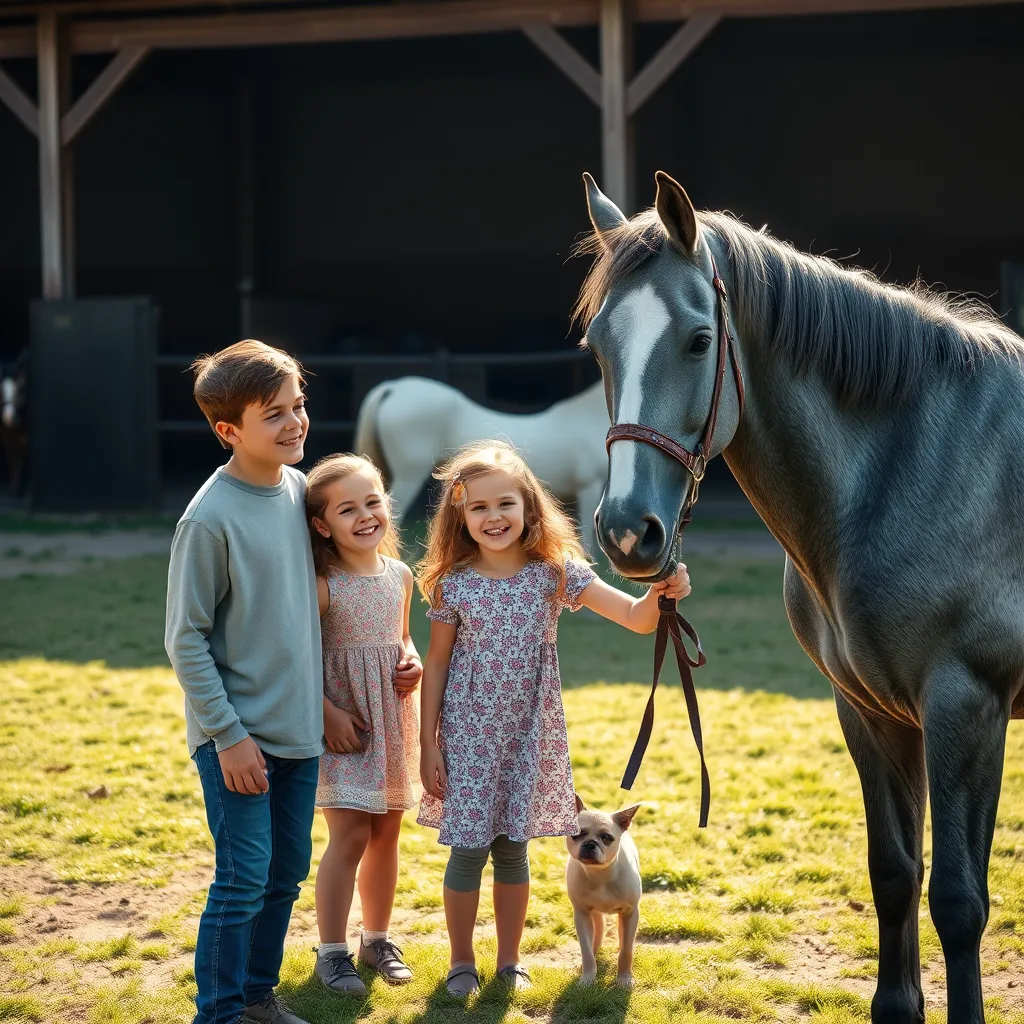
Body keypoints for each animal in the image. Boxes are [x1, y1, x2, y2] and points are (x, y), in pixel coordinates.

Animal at [579, 170, 1024, 1024]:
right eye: (597, 344)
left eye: (699, 339)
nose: (627, 533)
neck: (907, 464)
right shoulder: (871, 711)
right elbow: (894, 876)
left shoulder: (969, 708)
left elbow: (959, 901)